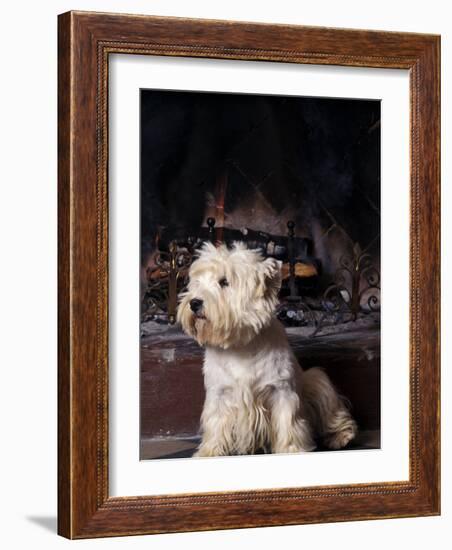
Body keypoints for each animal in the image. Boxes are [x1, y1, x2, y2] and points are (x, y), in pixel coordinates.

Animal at [177, 244, 356, 460]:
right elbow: (216, 424)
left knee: (333, 411)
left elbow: (288, 423)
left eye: (224, 282)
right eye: (196, 282)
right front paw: (209, 452)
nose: (194, 303)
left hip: (316, 381)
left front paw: (291, 450)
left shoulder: (281, 391)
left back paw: (341, 436)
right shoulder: (219, 393)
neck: (240, 345)